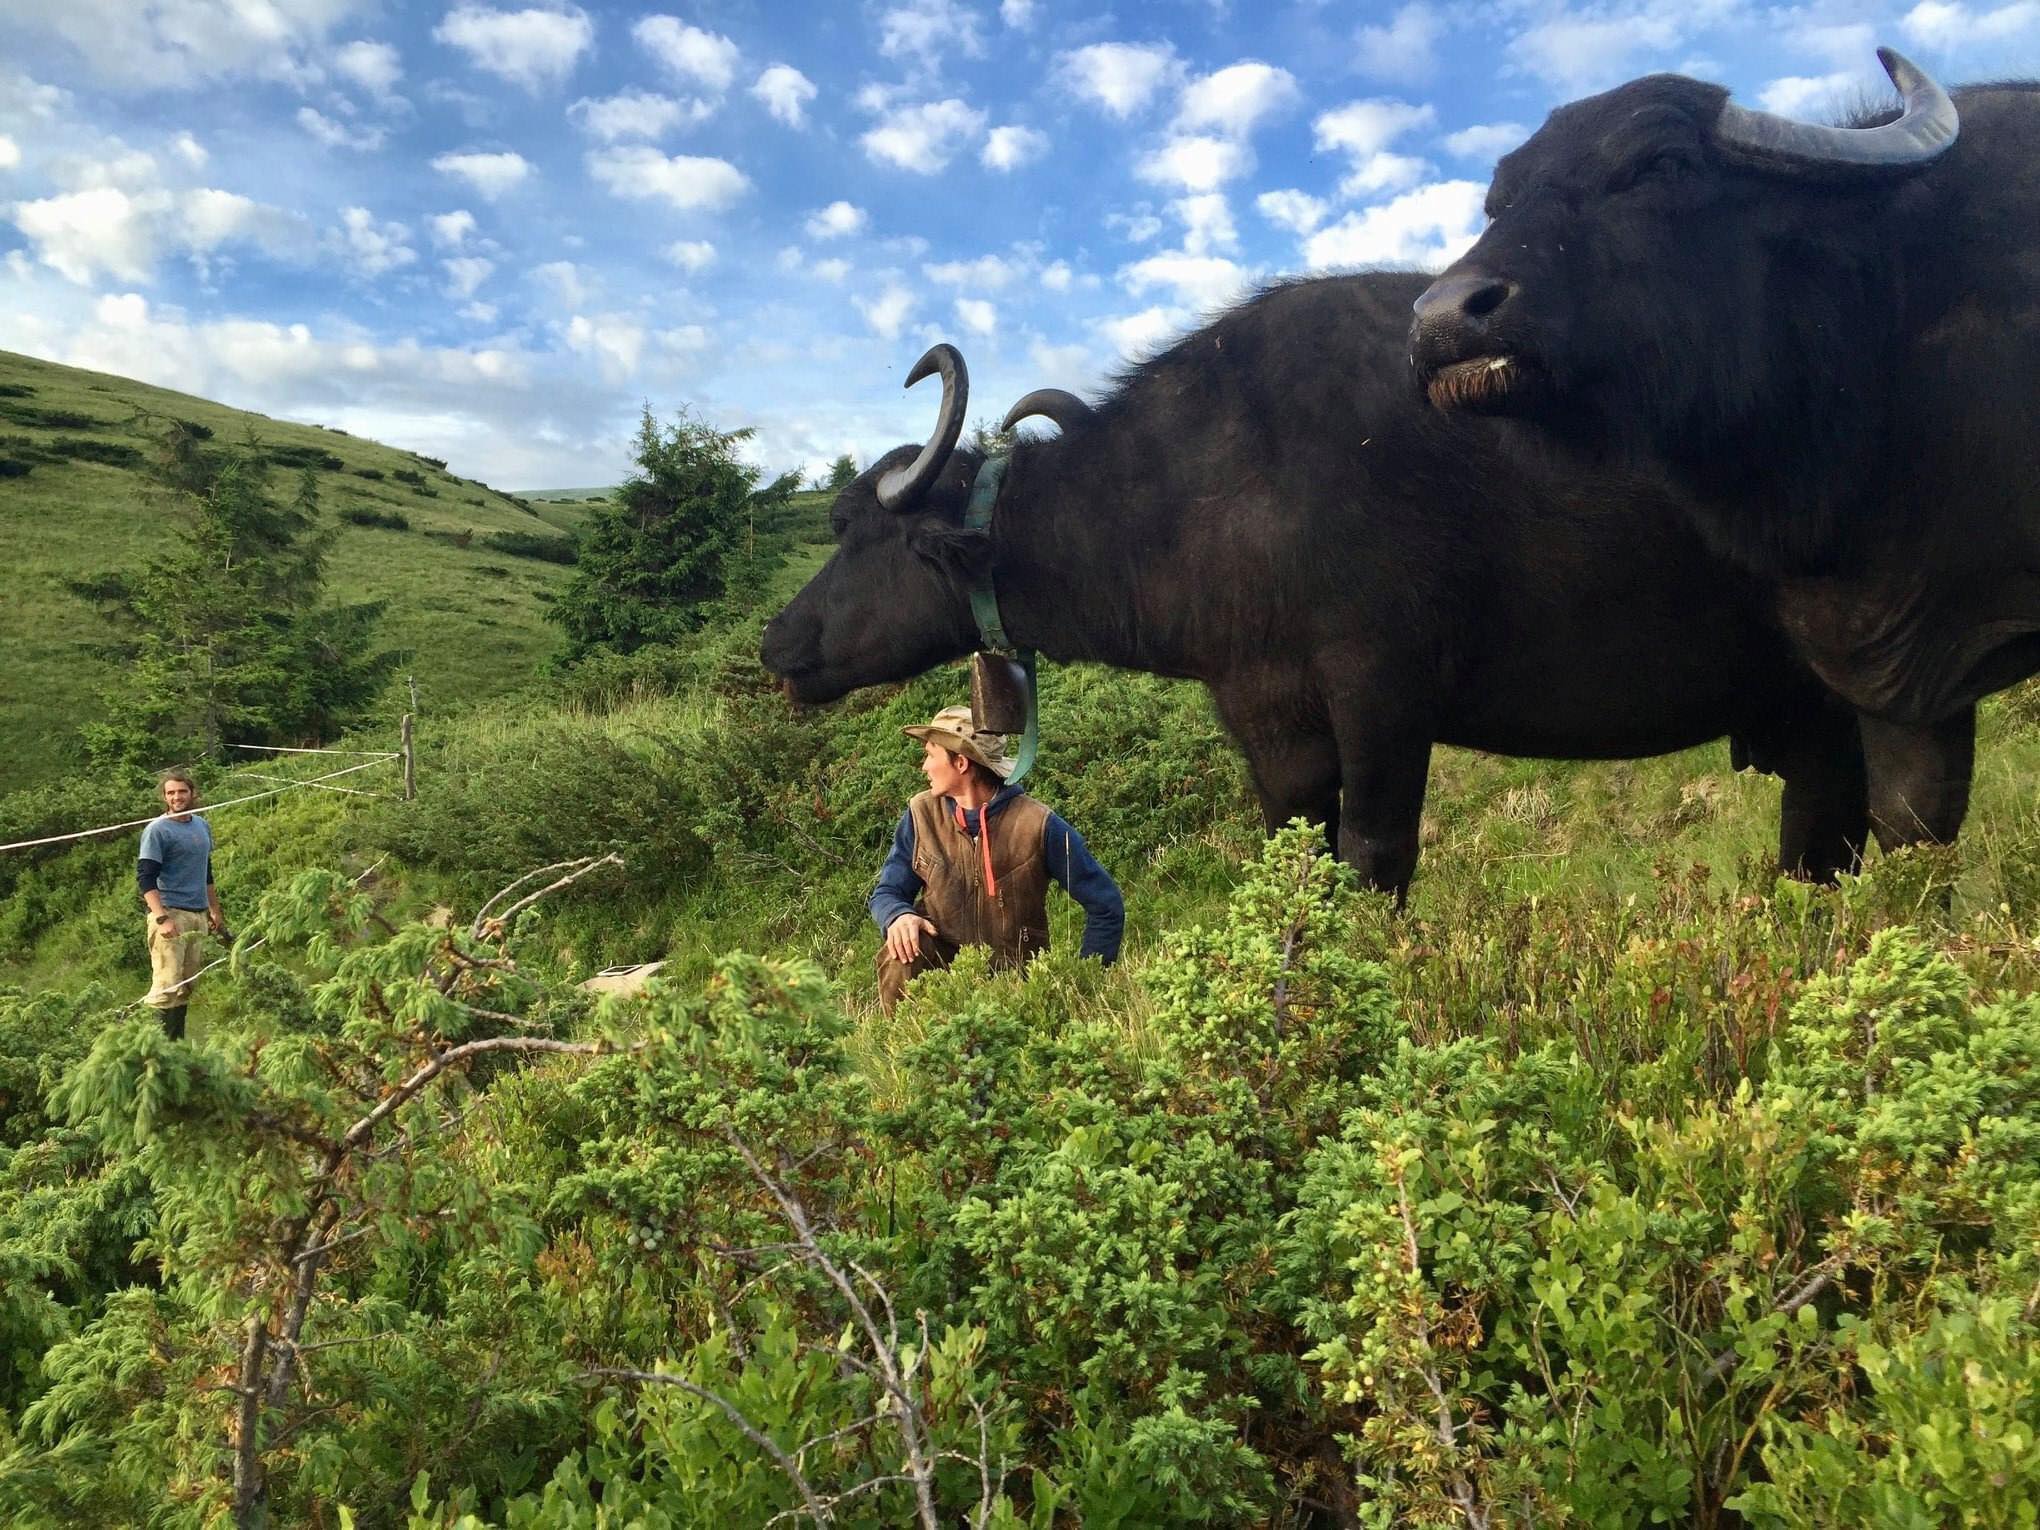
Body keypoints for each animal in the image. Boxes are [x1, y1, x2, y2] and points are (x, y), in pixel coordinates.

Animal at [761, 272, 1867, 898]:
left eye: (852, 528)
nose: (775, 642)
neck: (1217, 484)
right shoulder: (1269, 720)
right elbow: (1301, 859)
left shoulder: (1382, 694)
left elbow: (1376, 857)